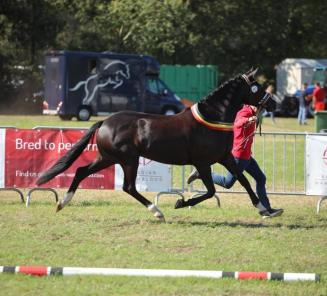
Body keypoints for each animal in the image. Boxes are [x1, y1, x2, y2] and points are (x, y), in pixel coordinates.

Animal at [37, 69, 276, 220]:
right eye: (255, 87)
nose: (273, 103)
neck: (212, 118)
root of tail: (104, 121)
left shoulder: (224, 158)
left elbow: (243, 180)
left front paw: (265, 209)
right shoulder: (202, 162)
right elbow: (209, 191)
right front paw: (180, 203)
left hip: (108, 158)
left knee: (80, 171)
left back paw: (62, 203)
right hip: (128, 160)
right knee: (129, 187)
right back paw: (157, 211)